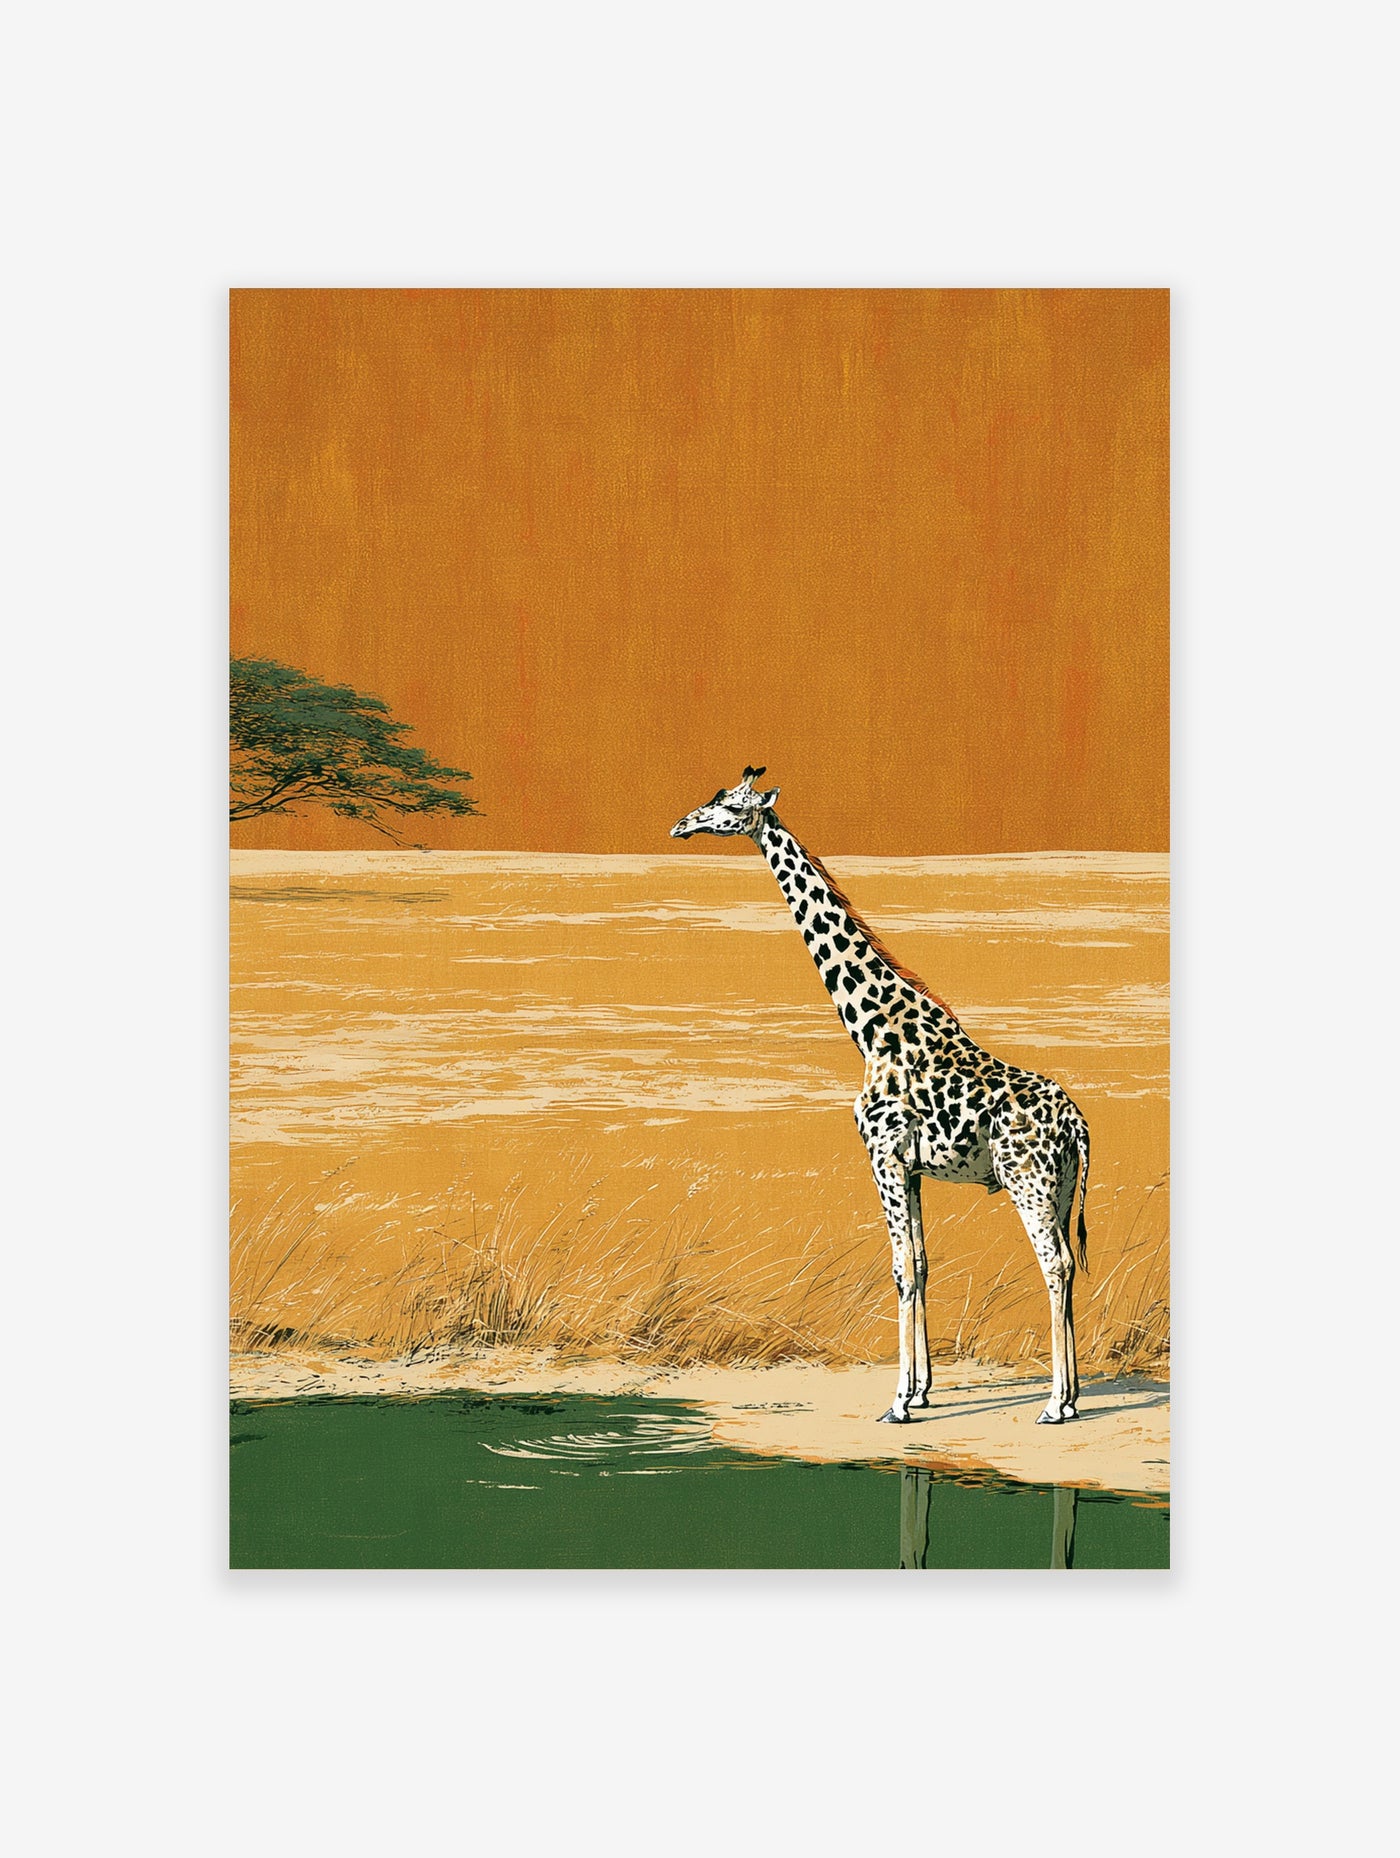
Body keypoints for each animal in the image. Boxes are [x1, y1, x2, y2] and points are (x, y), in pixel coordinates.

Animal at [671, 767, 1092, 1427]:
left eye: (731, 808)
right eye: (714, 798)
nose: (682, 824)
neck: (871, 1030)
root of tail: (1078, 1125)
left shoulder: (882, 1156)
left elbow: (899, 1268)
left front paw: (897, 1403)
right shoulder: (912, 1168)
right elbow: (919, 1263)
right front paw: (921, 1391)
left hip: (1029, 1182)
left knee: (1054, 1263)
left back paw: (1054, 1404)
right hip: (1063, 1185)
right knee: (1068, 1266)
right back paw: (1069, 1398)